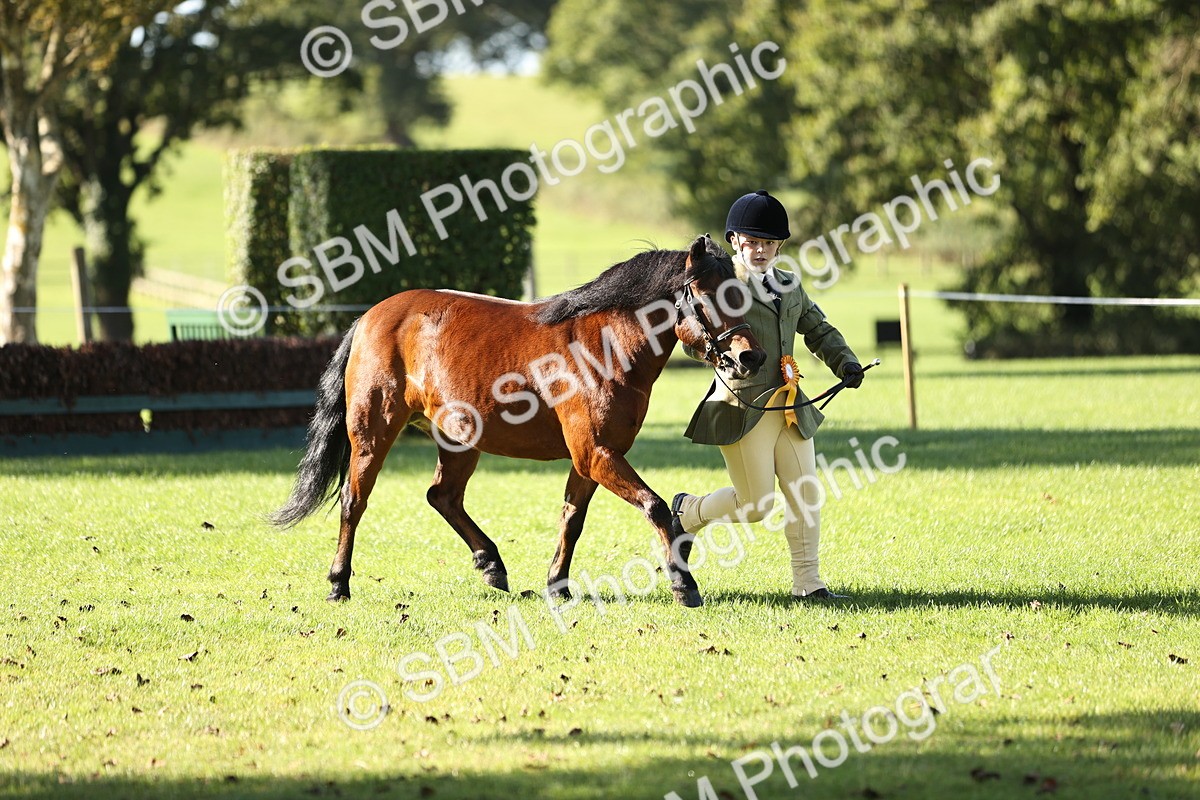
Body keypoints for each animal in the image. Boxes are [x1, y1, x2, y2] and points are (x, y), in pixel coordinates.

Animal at [270, 234, 766, 607]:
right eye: (706, 296)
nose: (751, 357)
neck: (604, 347)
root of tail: (370, 316)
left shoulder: (591, 458)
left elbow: (572, 519)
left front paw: (557, 586)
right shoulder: (597, 453)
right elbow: (656, 506)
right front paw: (684, 585)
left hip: (460, 441)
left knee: (442, 496)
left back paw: (491, 564)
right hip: (373, 432)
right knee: (354, 501)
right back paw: (339, 583)